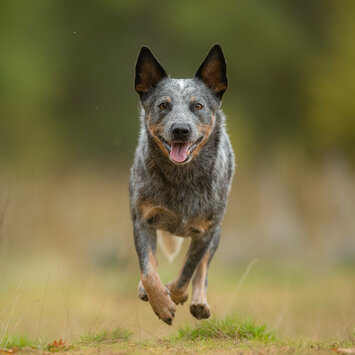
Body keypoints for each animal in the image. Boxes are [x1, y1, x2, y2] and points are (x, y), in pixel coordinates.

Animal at [129, 44, 235, 326]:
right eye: (163, 105)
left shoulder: (206, 231)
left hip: (216, 233)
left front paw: (175, 297)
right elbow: (148, 270)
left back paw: (199, 303)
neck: (182, 180)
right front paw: (161, 304)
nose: (180, 129)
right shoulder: (142, 219)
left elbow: (188, 272)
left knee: (202, 269)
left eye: (197, 105)